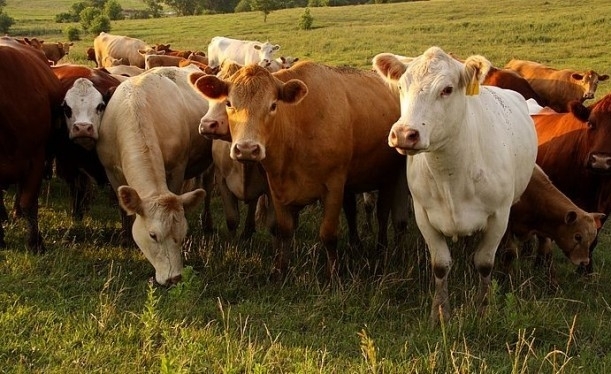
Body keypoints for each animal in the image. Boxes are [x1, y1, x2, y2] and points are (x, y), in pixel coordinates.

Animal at [98, 65, 215, 284]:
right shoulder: (111, 172)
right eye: (153, 235)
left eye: (183, 234)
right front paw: (125, 237)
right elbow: (123, 210)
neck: (134, 107)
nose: (174, 278)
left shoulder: (177, 168)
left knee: (208, 190)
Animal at [191, 61, 408, 278]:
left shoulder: (334, 185)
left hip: (388, 177)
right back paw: (356, 245)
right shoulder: (276, 186)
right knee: (352, 212)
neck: (297, 130)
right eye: (228, 103)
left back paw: (381, 248)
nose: (246, 149)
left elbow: (328, 234)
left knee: (382, 214)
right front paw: (281, 269)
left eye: (273, 105)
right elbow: (284, 229)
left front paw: (333, 274)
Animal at [370, 46, 536, 326]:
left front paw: (483, 308)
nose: (403, 134)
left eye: (447, 89)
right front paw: (439, 312)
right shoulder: (423, 214)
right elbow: (440, 265)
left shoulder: (499, 215)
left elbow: (484, 263)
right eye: (402, 86)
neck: (451, 175)